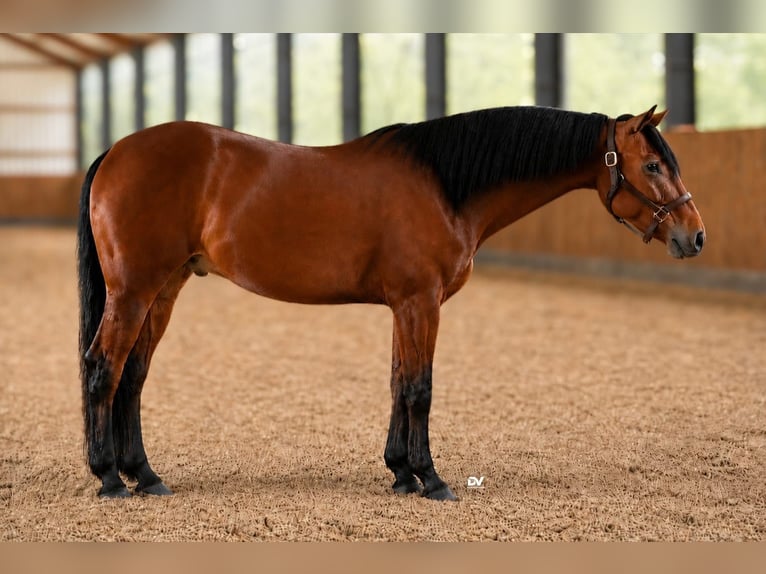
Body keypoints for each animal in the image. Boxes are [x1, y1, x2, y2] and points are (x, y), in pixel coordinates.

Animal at [77, 105, 705, 500]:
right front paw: (432, 479)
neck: (446, 185)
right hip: (134, 291)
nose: (695, 236)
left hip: (164, 290)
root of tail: (115, 151)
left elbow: (400, 381)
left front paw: (401, 472)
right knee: (103, 369)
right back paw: (109, 479)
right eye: (653, 165)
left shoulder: (405, 307)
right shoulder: (420, 302)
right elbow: (420, 388)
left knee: (132, 377)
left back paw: (145, 475)